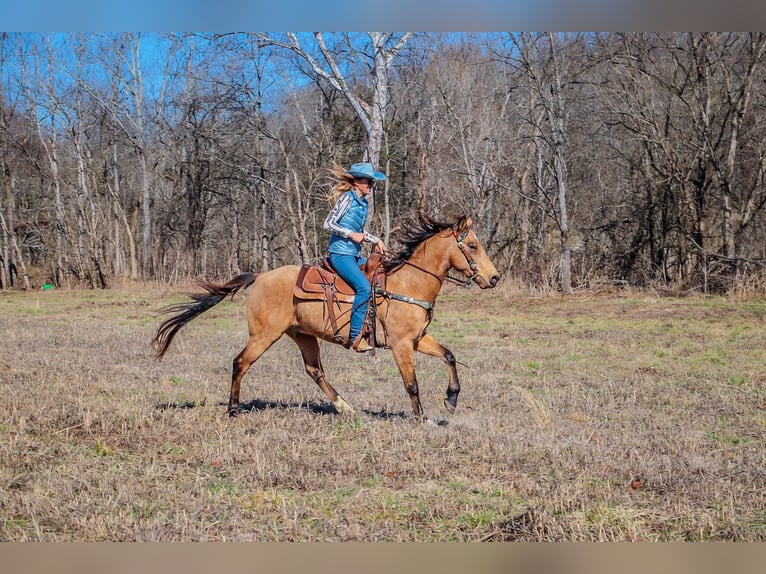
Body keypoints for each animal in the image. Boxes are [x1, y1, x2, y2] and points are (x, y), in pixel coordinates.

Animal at [154, 214, 504, 426]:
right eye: (472, 245)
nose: (494, 278)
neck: (408, 284)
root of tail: (260, 277)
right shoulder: (401, 344)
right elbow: (412, 384)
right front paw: (422, 419)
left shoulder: (418, 339)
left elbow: (449, 355)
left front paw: (451, 400)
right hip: (263, 335)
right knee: (240, 363)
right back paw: (233, 410)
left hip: (303, 335)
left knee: (314, 371)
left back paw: (346, 408)